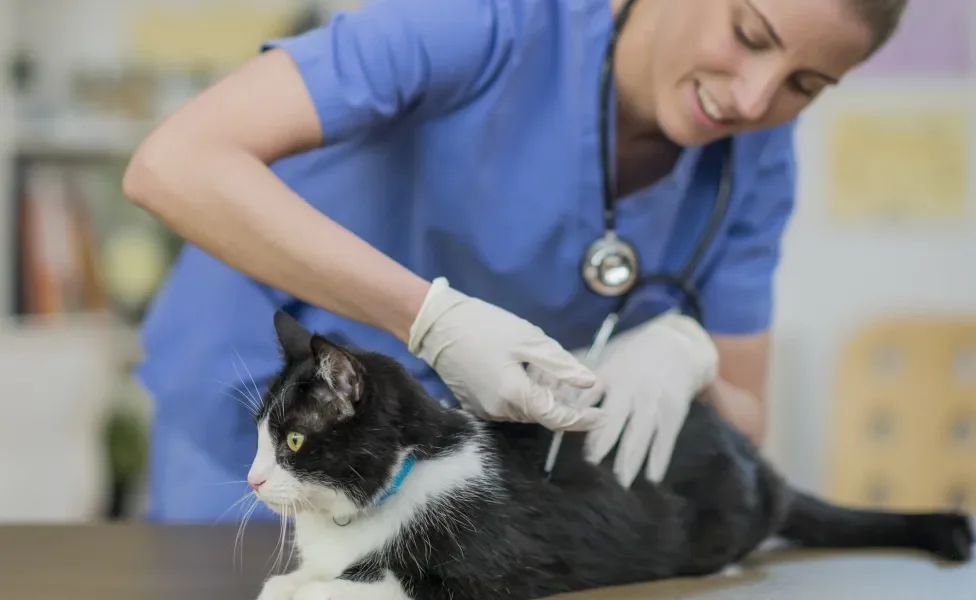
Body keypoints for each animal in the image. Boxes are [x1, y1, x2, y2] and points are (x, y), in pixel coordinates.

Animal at [246, 312, 976, 600]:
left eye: (294, 441)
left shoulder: (482, 574)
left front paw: (314, 589)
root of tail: (763, 468)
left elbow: (374, 583)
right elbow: (296, 578)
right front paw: (287, 581)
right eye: (258, 434)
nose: (252, 479)